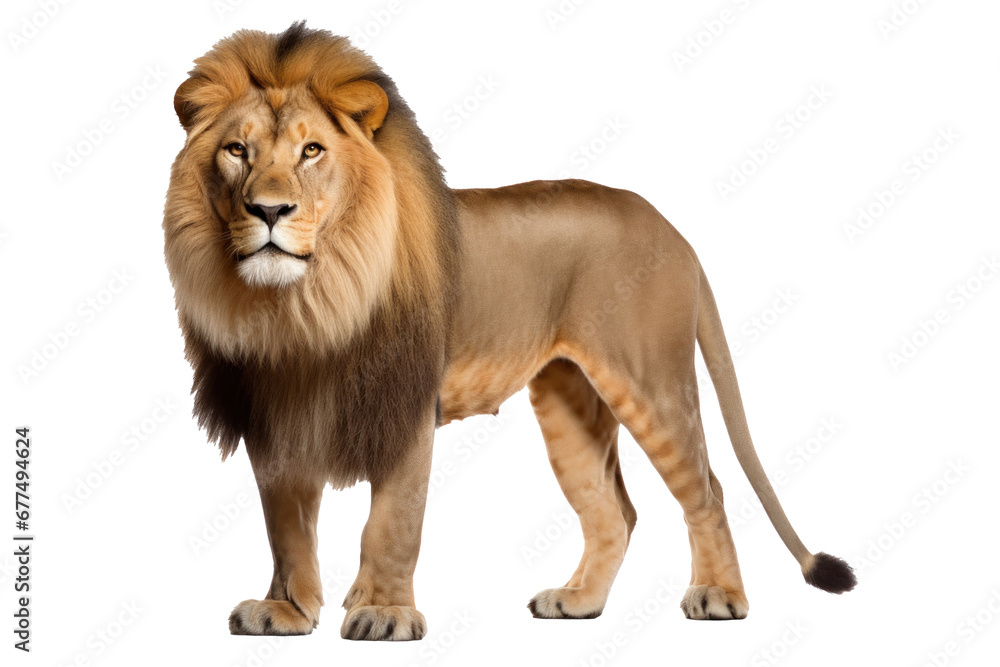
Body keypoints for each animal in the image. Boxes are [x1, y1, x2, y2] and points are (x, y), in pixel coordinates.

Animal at [163, 22, 856, 641]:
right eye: (237, 150)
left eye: (312, 151)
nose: (269, 210)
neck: (303, 307)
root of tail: (670, 227)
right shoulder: (276, 414)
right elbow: (286, 527)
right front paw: (285, 610)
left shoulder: (407, 405)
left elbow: (391, 522)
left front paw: (384, 612)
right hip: (570, 399)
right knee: (615, 511)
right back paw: (578, 602)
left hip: (650, 377)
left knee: (707, 489)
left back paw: (718, 597)